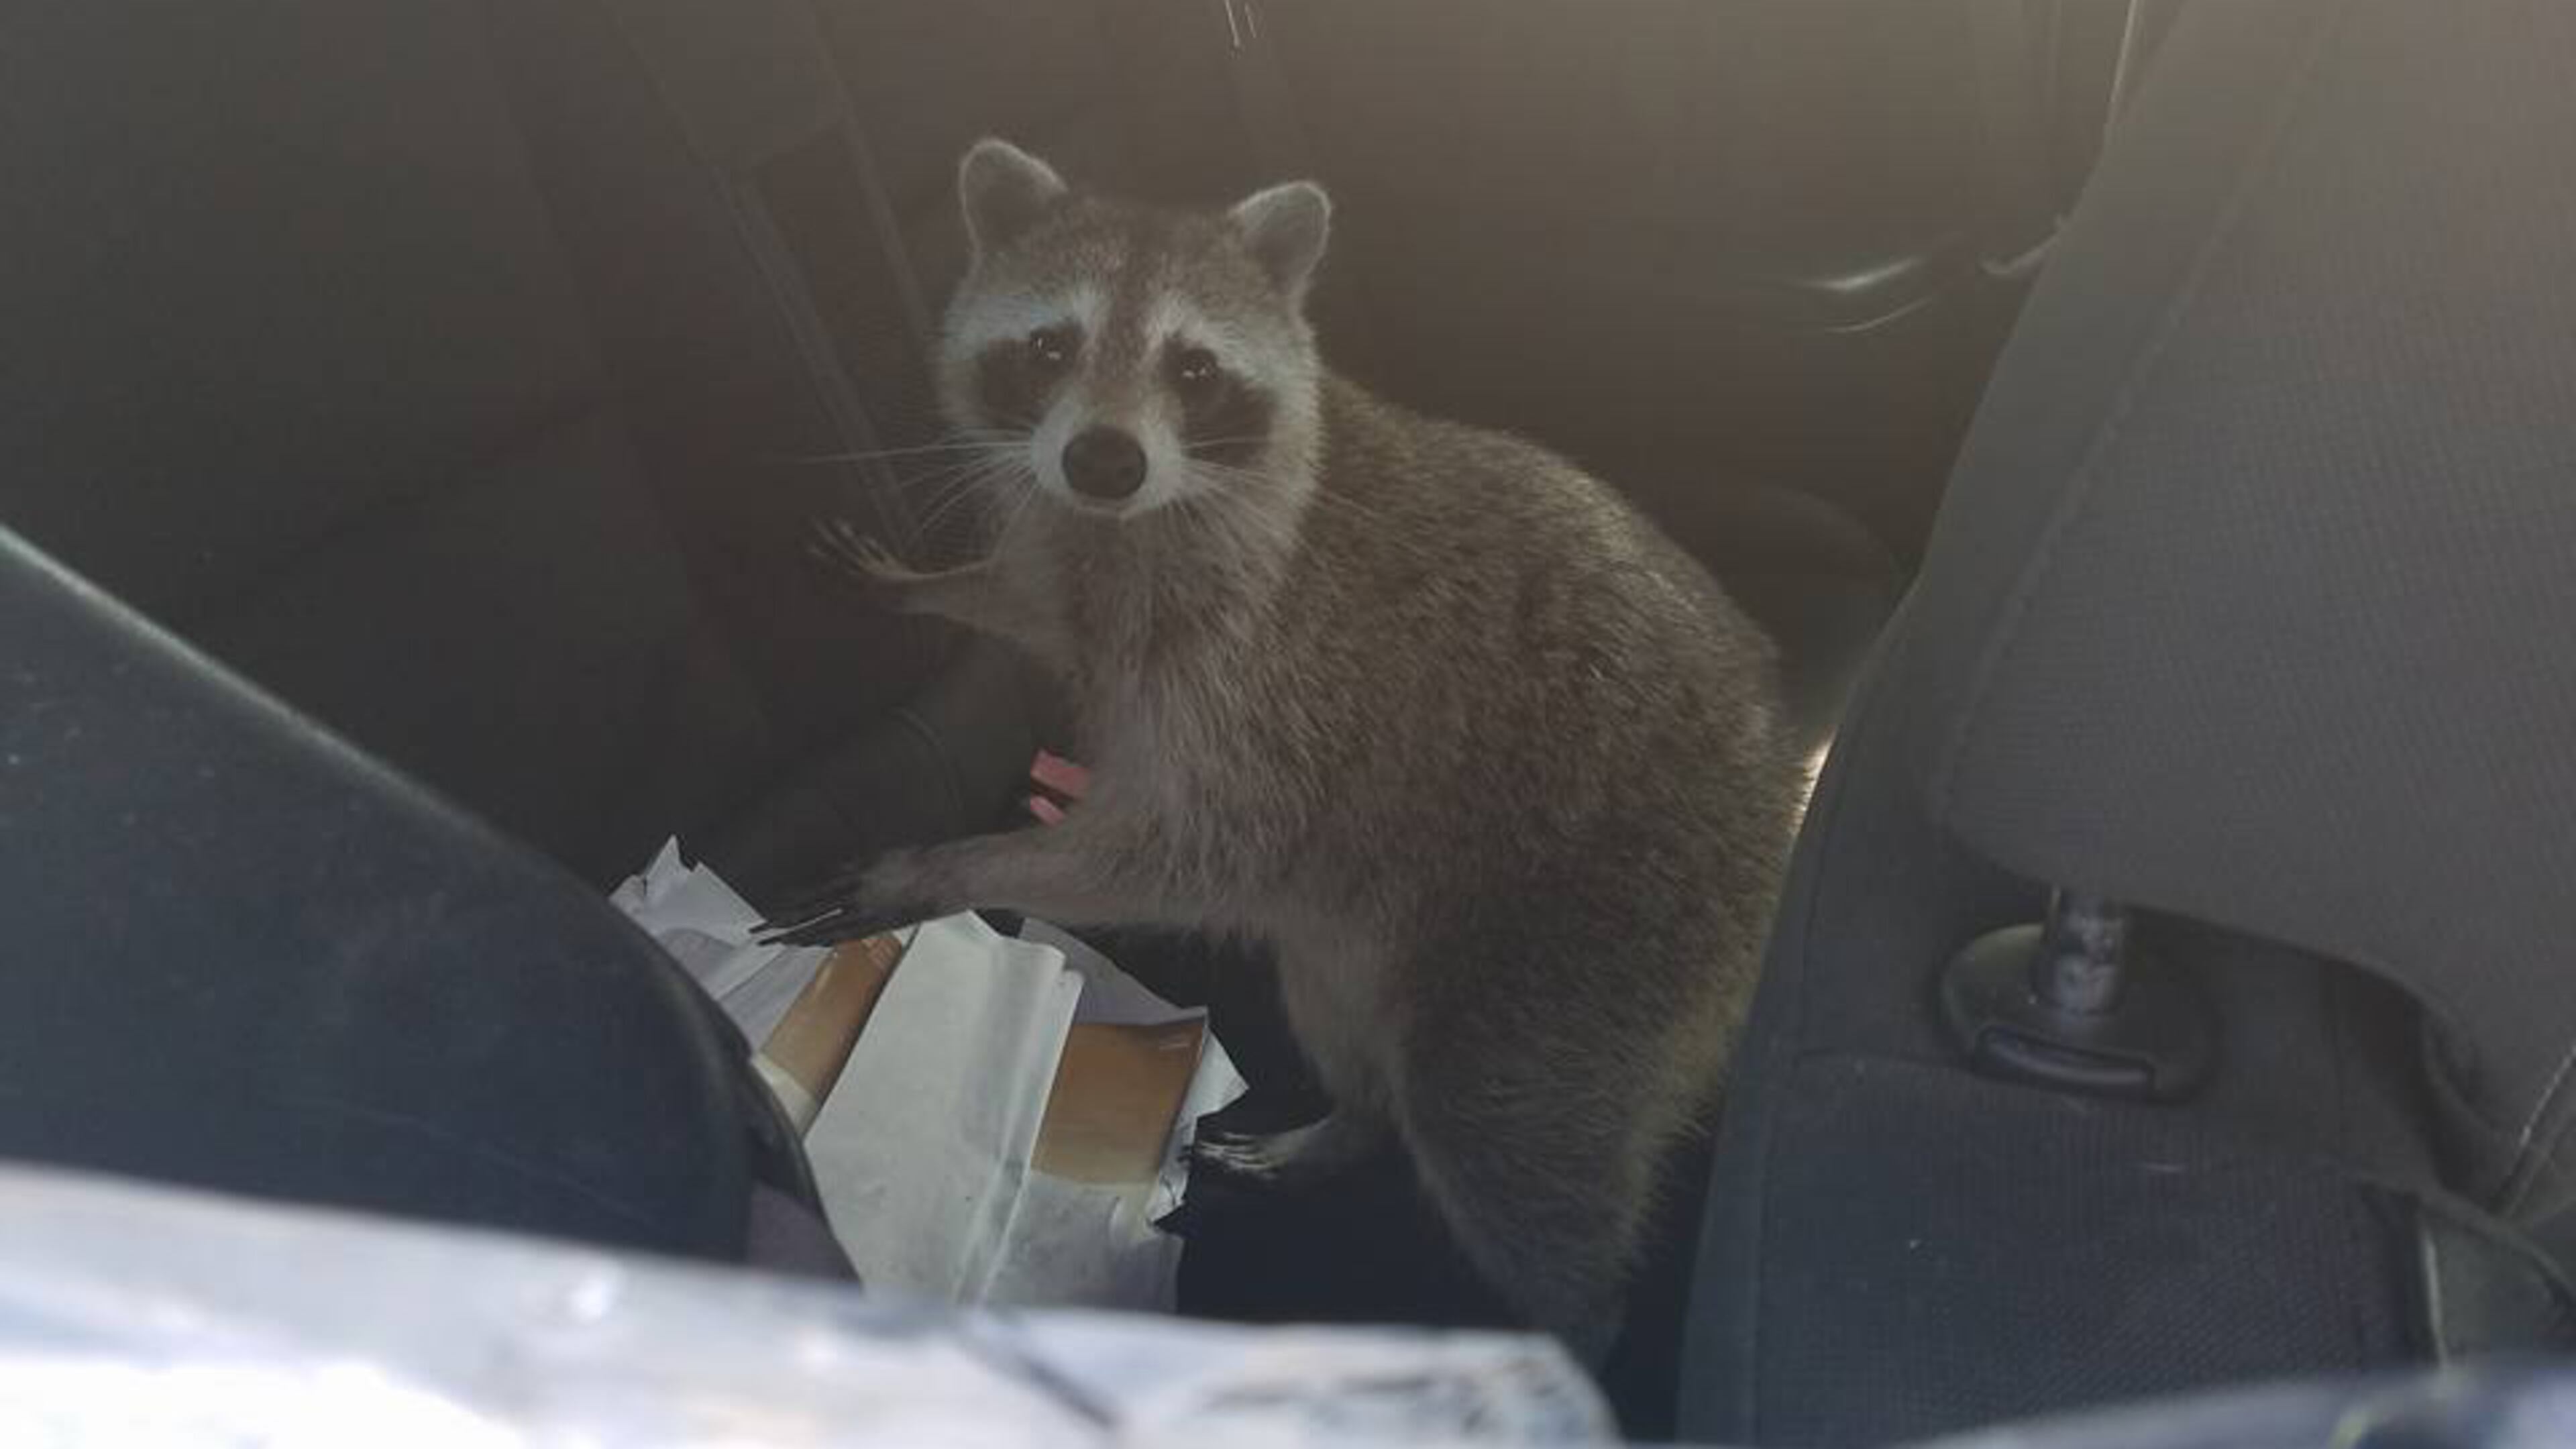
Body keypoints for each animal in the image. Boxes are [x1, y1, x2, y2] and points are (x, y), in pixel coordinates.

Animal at [775, 139, 1805, 1350]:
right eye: (1051, 346)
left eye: (1193, 369)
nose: (1106, 461)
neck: (1134, 523)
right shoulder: (1088, 562)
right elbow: (1040, 607)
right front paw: (936, 587)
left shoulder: (1277, 679)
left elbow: (1184, 854)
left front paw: (947, 867)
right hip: (1363, 920)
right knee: (1338, 1007)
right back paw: (1351, 1120)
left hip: (1596, 934)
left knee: (1504, 1130)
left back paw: (1568, 1317)